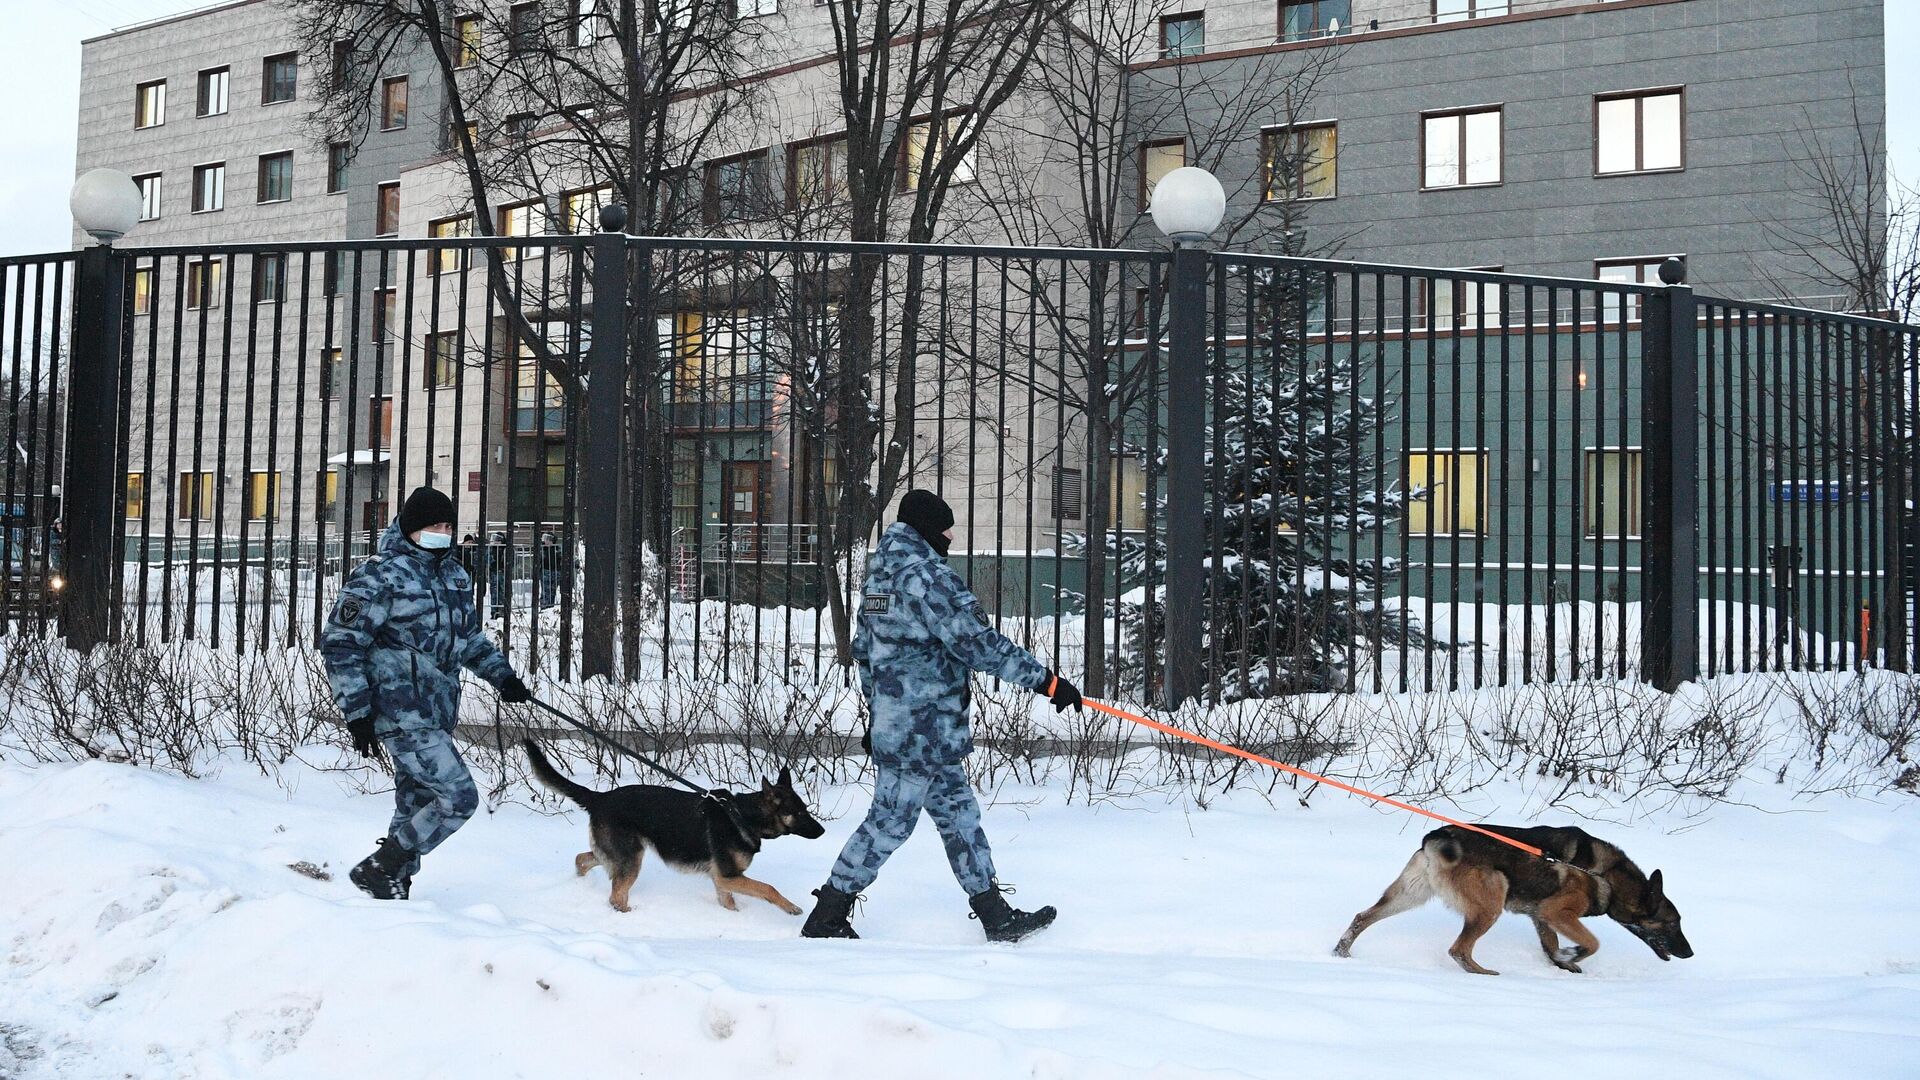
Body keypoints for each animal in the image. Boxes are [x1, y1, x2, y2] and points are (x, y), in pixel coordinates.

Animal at [526, 734, 825, 910]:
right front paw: (791, 907)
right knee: (615, 895)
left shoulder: (722, 880)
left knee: (582, 859)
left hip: (616, 854)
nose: (823, 831)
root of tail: (599, 797)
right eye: (800, 813)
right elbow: (768, 887)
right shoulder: (728, 876)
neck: (742, 815)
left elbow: (729, 902)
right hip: (631, 859)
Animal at [1336, 822, 1697, 976]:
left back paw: (1342, 952)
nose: (1690, 953)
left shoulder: (1543, 917)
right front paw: (1572, 954)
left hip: (1409, 894)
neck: (1606, 875)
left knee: (1361, 917)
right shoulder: (1558, 912)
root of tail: (1437, 835)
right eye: (1672, 924)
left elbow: (1551, 947)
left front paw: (1563, 962)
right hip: (1491, 903)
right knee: (1459, 949)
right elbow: (1592, 943)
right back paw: (1482, 974)